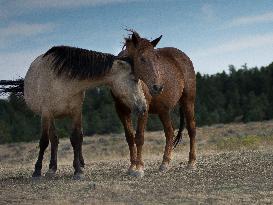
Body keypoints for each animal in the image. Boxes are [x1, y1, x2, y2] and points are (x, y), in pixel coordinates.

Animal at [112, 31, 196, 177]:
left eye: (157, 59)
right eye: (142, 59)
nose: (158, 87)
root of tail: (184, 57)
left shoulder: (143, 109)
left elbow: (139, 137)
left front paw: (139, 168)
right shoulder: (121, 109)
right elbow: (130, 137)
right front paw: (132, 167)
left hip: (188, 101)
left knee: (191, 128)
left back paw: (191, 162)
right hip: (163, 110)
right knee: (169, 132)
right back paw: (165, 163)